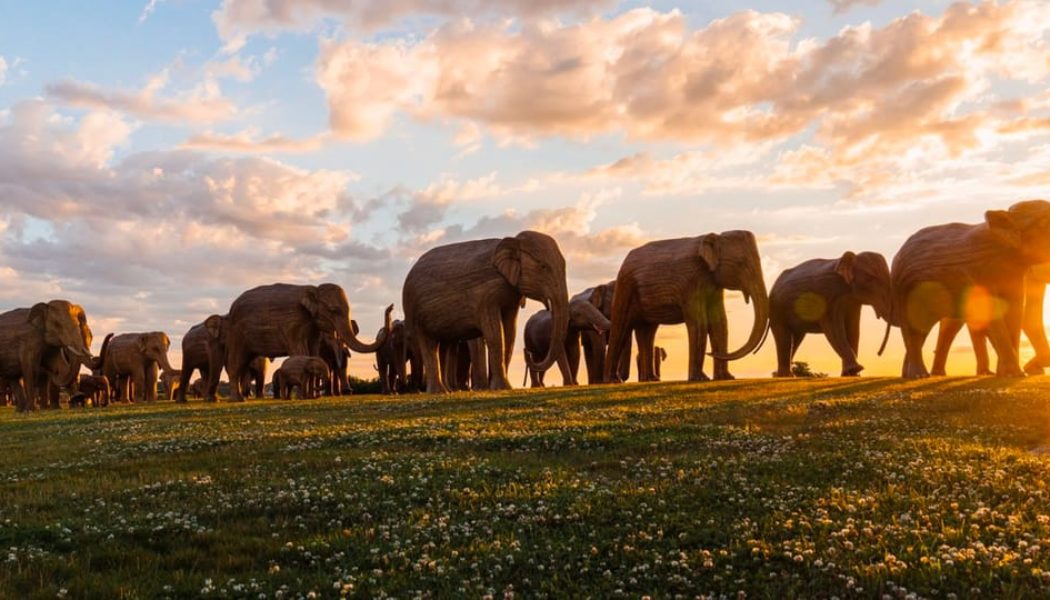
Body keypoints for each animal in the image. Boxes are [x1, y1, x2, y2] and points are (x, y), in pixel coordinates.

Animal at [222, 283, 391, 402]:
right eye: (334, 310)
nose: (390, 306)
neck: (314, 290)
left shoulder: (313, 328)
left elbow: (314, 352)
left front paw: (311, 397)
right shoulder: (293, 323)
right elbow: (301, 351)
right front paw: (303, 397)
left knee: (243, 363)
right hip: (237, 333)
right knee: (236, 363)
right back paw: (238, 400)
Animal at [402, 231, 570, 393]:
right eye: (543, 267)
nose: (526, 353)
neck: (512, 241)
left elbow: (510, 333)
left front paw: (503, 388)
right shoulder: (487, 296)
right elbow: (495, 334)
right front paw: (502, 388)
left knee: (444, 346)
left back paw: (447, 391)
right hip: (415, 312)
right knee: (429, 345)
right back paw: (438, 392)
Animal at [605, 231, 769, 383]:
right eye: (741, 263)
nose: (711, 353)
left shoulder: (713, 285)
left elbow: (720, 323)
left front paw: (727, 378)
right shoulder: (692, 282)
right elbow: (699, 323)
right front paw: (701, 379)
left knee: (647, 332)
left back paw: (651, 379)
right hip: (625, 286)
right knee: (621, 328)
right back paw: (614, 381)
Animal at [891, 200, 1050, 378]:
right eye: (1045, 223)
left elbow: (1014, 311)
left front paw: (1012, 374)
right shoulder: (979, 273)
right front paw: (1014, 374)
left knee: (925, 329)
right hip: (902, 288)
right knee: (913, 328)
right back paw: (919, 375)